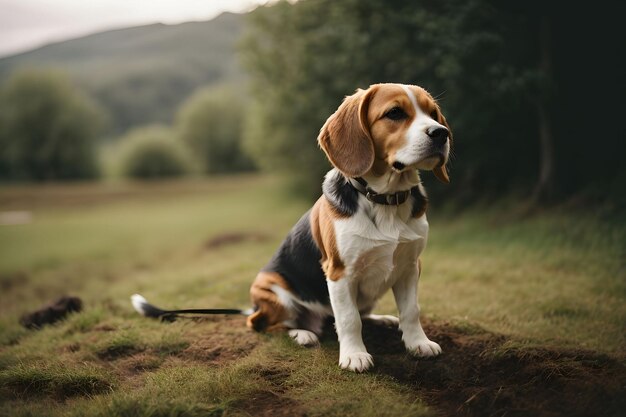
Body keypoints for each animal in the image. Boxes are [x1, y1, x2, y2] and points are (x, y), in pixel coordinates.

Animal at [246, 82, 450, 370]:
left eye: (433, 114)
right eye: (395, 113)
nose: (441, 133)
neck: (385, 200)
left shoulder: (411, 266)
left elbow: (411, 310)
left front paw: (418, 343)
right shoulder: (340, 272)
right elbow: (348, 318)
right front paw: (354, 355)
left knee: (362, 313)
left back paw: (383, 319)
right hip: (275, 292)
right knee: (267, 325)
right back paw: (302, 334)